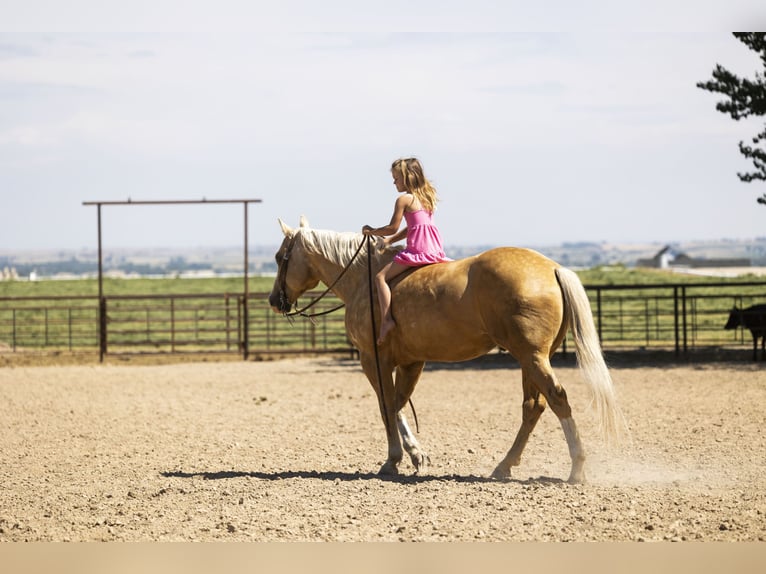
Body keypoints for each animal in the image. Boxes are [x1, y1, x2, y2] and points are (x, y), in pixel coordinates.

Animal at [268, 218, 628, 484]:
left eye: (279, 257)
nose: (274, 300)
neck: (363, 279)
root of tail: (552, 268)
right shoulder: (411, 362)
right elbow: (398, 404)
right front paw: (415, 455)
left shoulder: (373, 359)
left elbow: (387, 406)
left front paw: (394, 460)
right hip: (532, 358)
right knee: (533, 406)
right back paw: (504, 466)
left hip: (532, 357)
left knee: (556, 399)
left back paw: (576, 469)